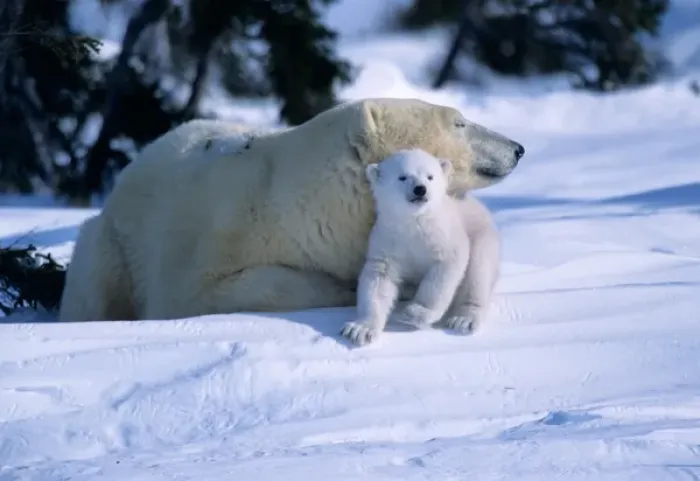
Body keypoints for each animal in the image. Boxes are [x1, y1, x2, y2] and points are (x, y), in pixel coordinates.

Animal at [58, 97, 524, 322]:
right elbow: (201, 293)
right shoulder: (208, 241)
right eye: (459, 122)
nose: (517, 147)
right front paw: (341, 289)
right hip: (111, 242)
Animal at [341, 148, 498, 346]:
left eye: (430, 176)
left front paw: (414, 312)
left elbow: (443, 271)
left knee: (478, 273)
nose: (420, 189)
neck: (414, 222)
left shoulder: (444, 234)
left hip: (482, 237)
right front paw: (359, 330)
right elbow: (378, 280)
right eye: (402, 177)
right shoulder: (388, 240)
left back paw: (464, 319)